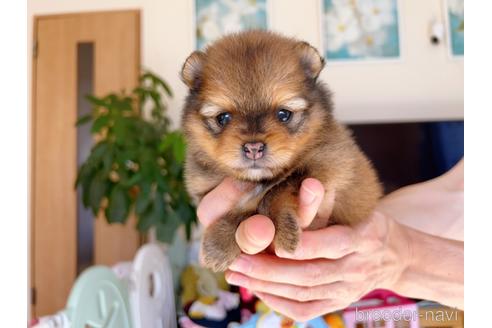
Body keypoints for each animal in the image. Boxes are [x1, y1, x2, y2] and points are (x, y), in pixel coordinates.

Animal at [180, 30, 380, 272]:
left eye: (284, 114)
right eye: (223, 118)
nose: (253, 148)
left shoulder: (329, 160)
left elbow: (275, 190)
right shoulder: (204, 189)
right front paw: (219, 244)